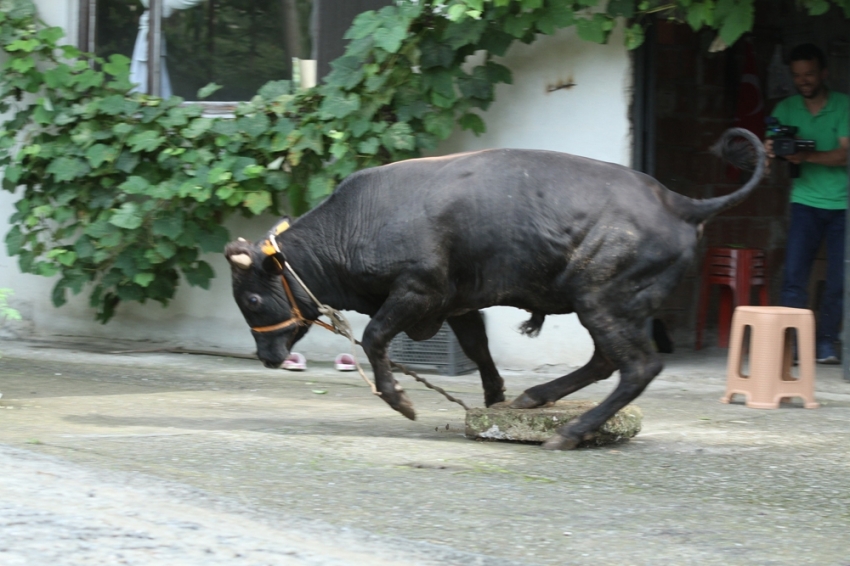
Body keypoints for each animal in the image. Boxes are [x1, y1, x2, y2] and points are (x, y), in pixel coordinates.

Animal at [225, 129, 760, 452]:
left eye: (251, 299)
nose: (267, 357)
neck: (358, 221)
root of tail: (678, 202)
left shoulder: (416, 292)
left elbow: (376, 337)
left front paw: (400, 400)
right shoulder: (457, 303)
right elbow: (479, 351)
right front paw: (493, 402)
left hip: (601, 300)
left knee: (637, 366)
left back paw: (569, 431)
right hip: (605, 306)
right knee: (607, 362)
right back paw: (536, 398)